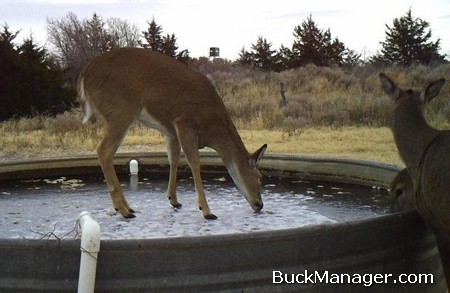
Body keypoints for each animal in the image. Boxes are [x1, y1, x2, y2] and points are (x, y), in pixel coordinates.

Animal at [77, 47, 268, 219]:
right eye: (259, 177)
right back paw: (124, 210)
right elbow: (194, 162)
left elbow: (174, 158)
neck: (213, 128)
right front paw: (206, 211)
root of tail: (85, 75)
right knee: (103, 151)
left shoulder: (171, 131)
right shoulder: (184, 123)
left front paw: (174, 200)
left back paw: (128, 208)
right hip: (120, 111)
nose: (260, 205)